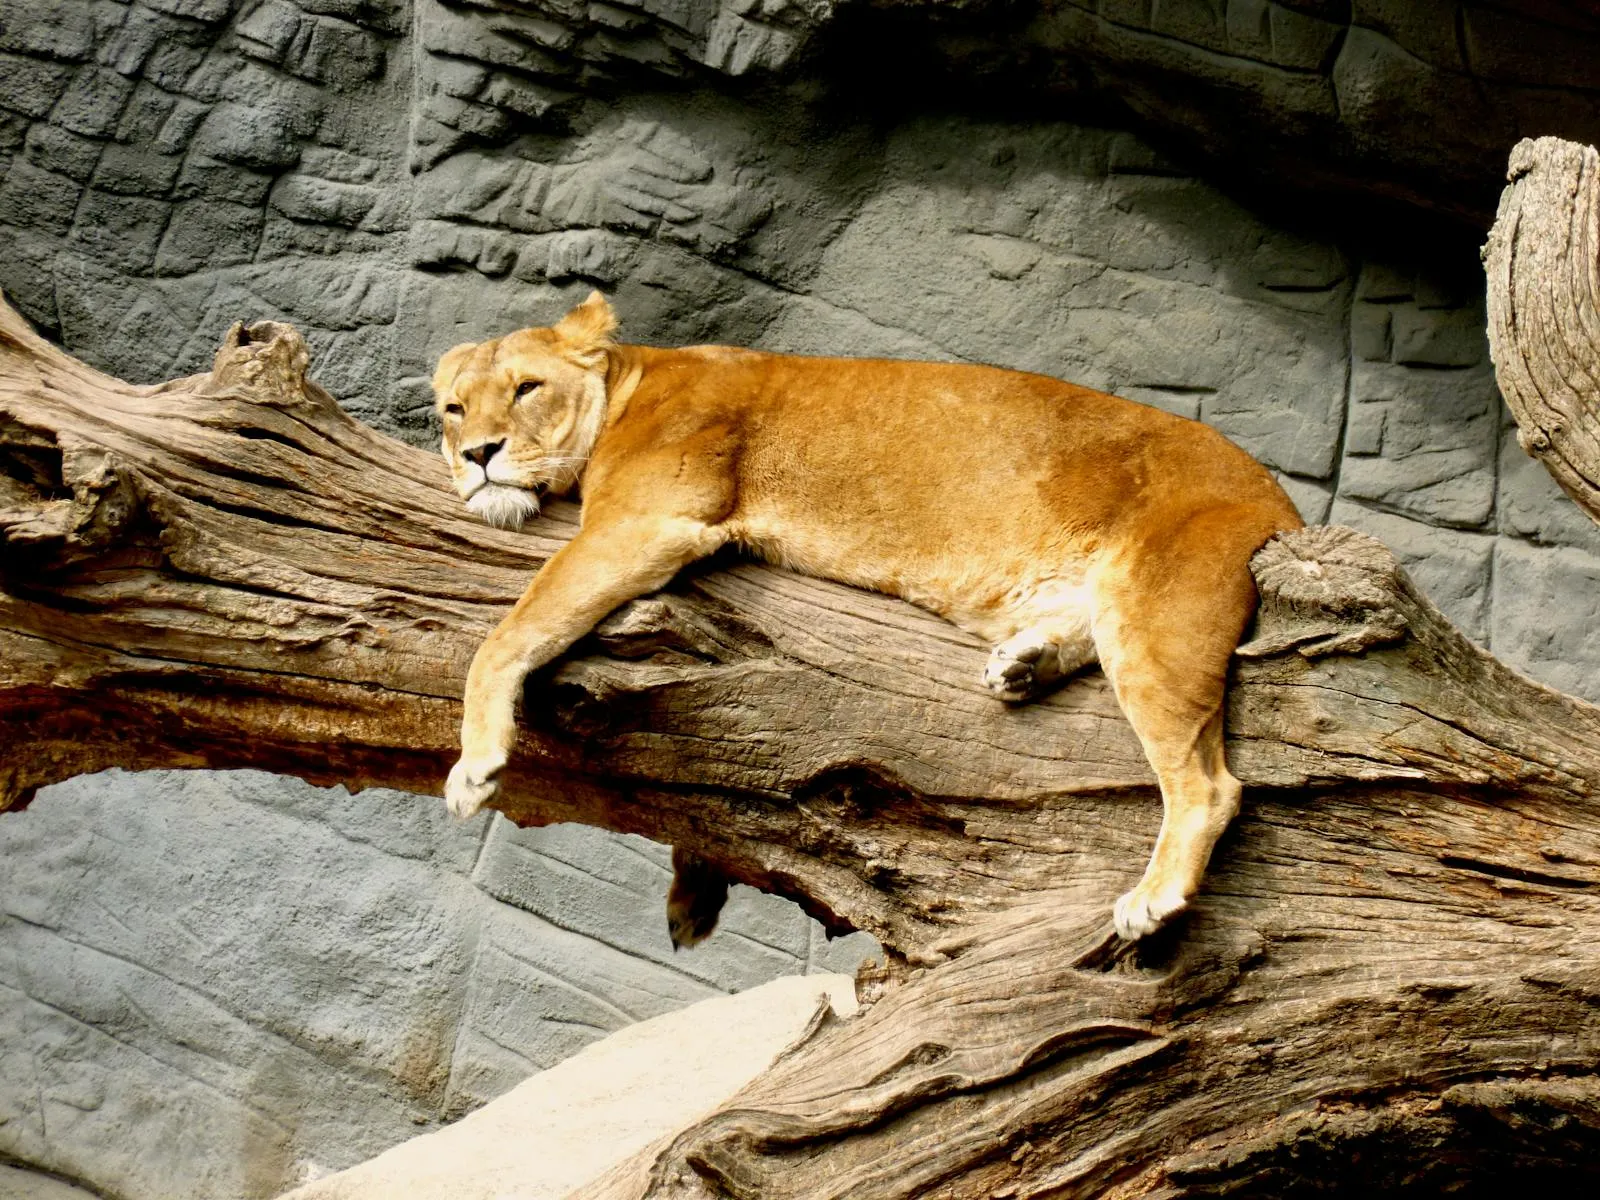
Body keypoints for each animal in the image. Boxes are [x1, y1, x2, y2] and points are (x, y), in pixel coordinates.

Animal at [433, 291, 1303, 945]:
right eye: (452, 408)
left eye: (525, 389)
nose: (477, 455)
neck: (630, 384)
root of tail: (1280, 498)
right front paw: (693, 897)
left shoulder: (649, 521)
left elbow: (512, 630)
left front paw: (475, 767)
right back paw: (1023, 666)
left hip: (1159, 611)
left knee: (1209, 784)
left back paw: (1154, 899)